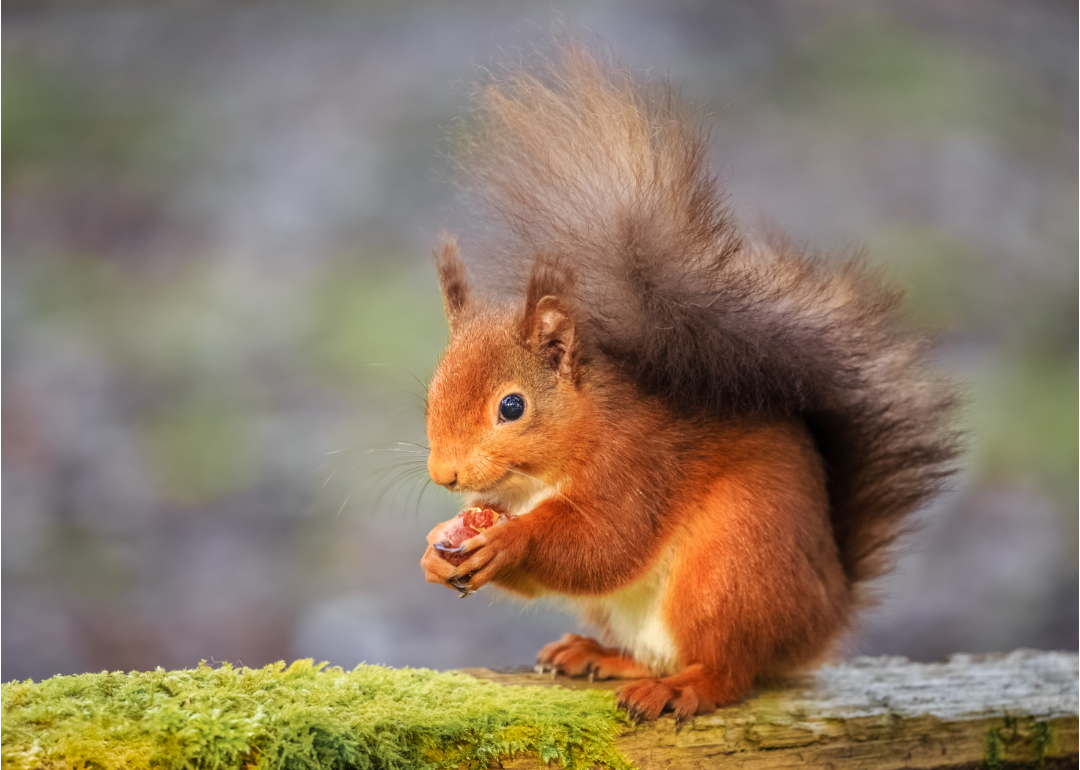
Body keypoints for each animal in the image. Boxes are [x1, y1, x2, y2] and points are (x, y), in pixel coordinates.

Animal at [416, 43, 959, 721]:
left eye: (512, 407)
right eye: (431, 393)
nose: (445, 475)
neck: (541, 476)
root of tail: (823, 614)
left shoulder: (639, 466)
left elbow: (605, 544)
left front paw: (508, 542)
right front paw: (437, 549)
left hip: (727, 573)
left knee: (727, 671)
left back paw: (681, 689)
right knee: (655, 654)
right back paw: (599, 655)